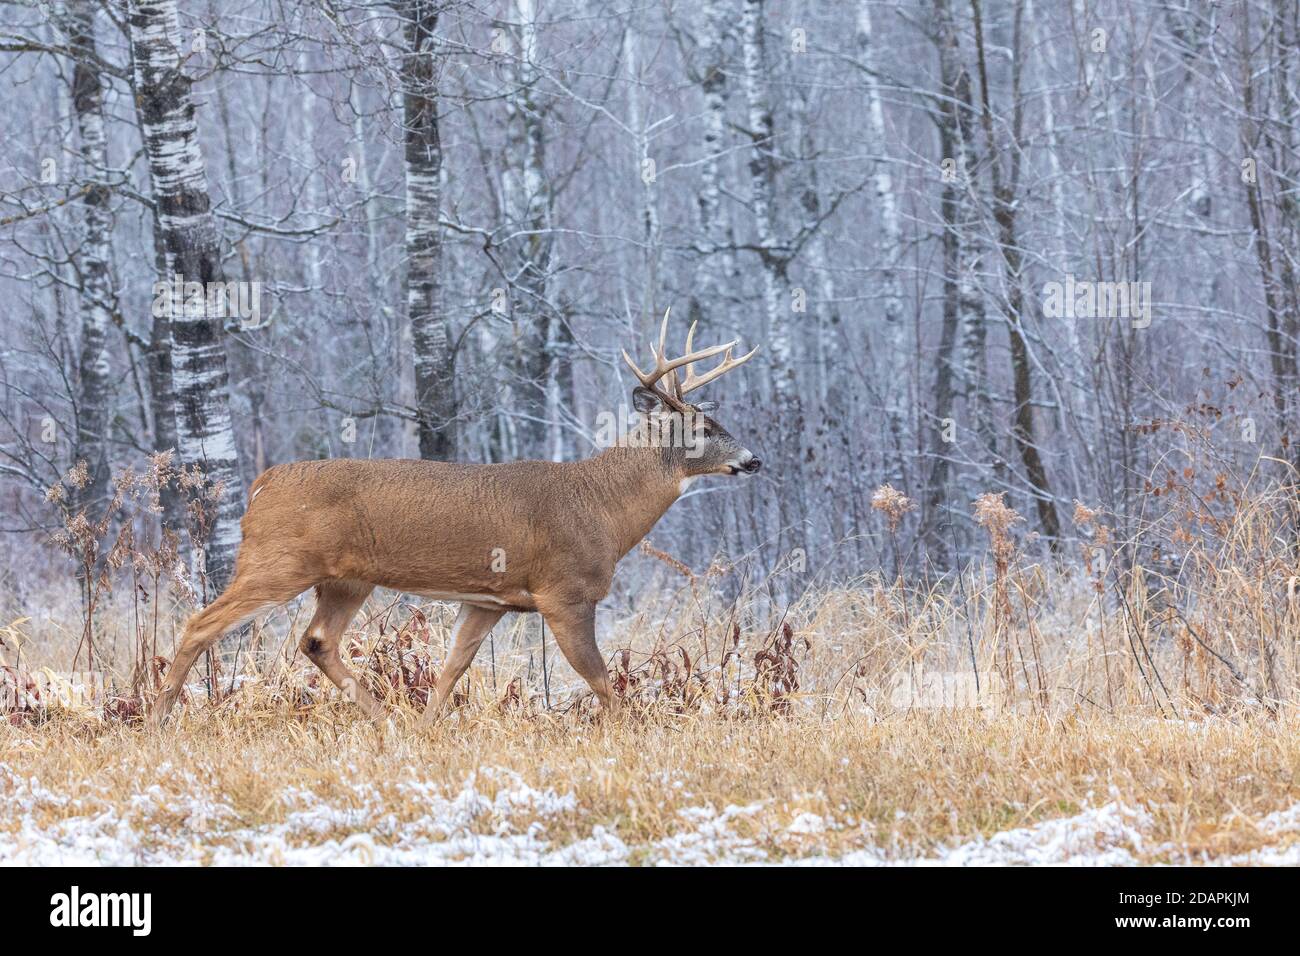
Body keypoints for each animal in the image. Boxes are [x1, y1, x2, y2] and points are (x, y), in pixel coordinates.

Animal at [149, 312, 759, 723]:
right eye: (703, 428)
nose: (753, 459)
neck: (602, 508)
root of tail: (262, 485)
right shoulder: (564, 591)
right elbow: (601, 680)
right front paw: (630, 733)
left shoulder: (489, 600)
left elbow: (450, 672)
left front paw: (426, 727)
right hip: (278, 561)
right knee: (199, 623)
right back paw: (158, 719)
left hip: (346, 579)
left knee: (317, 640)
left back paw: (388, 722)